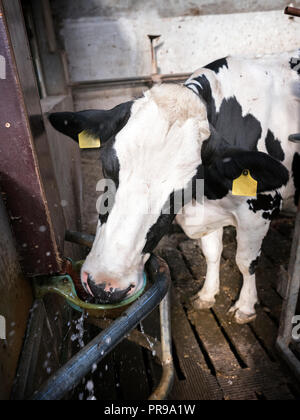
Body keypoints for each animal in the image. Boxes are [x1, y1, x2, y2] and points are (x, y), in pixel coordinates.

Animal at [49, 50, 300, 324]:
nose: (105, 285)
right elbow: (212, 252)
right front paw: (207, 295)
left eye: (182, 191)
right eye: (106, 167)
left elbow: (246, 262)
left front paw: (245, 307)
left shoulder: (260, 209)